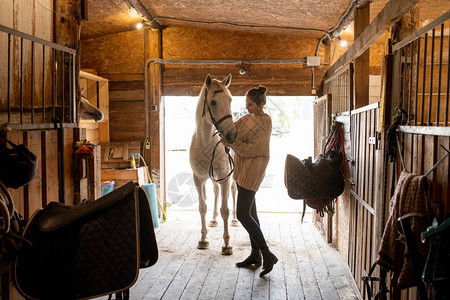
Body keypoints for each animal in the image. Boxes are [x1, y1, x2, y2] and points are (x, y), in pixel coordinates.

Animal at [190, 74, 239, 254]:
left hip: (231, 177)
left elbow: (225, 209)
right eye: (213, 102)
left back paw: (234, 219)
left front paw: (226, 244)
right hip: (212, 178)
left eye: (230, 100)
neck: (205, 143)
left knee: (233, 192)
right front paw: (203, 239)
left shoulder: (225, 177)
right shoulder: (198, 178)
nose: (232, 135)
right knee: (216, 192)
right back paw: (213, 219)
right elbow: (202, 207)